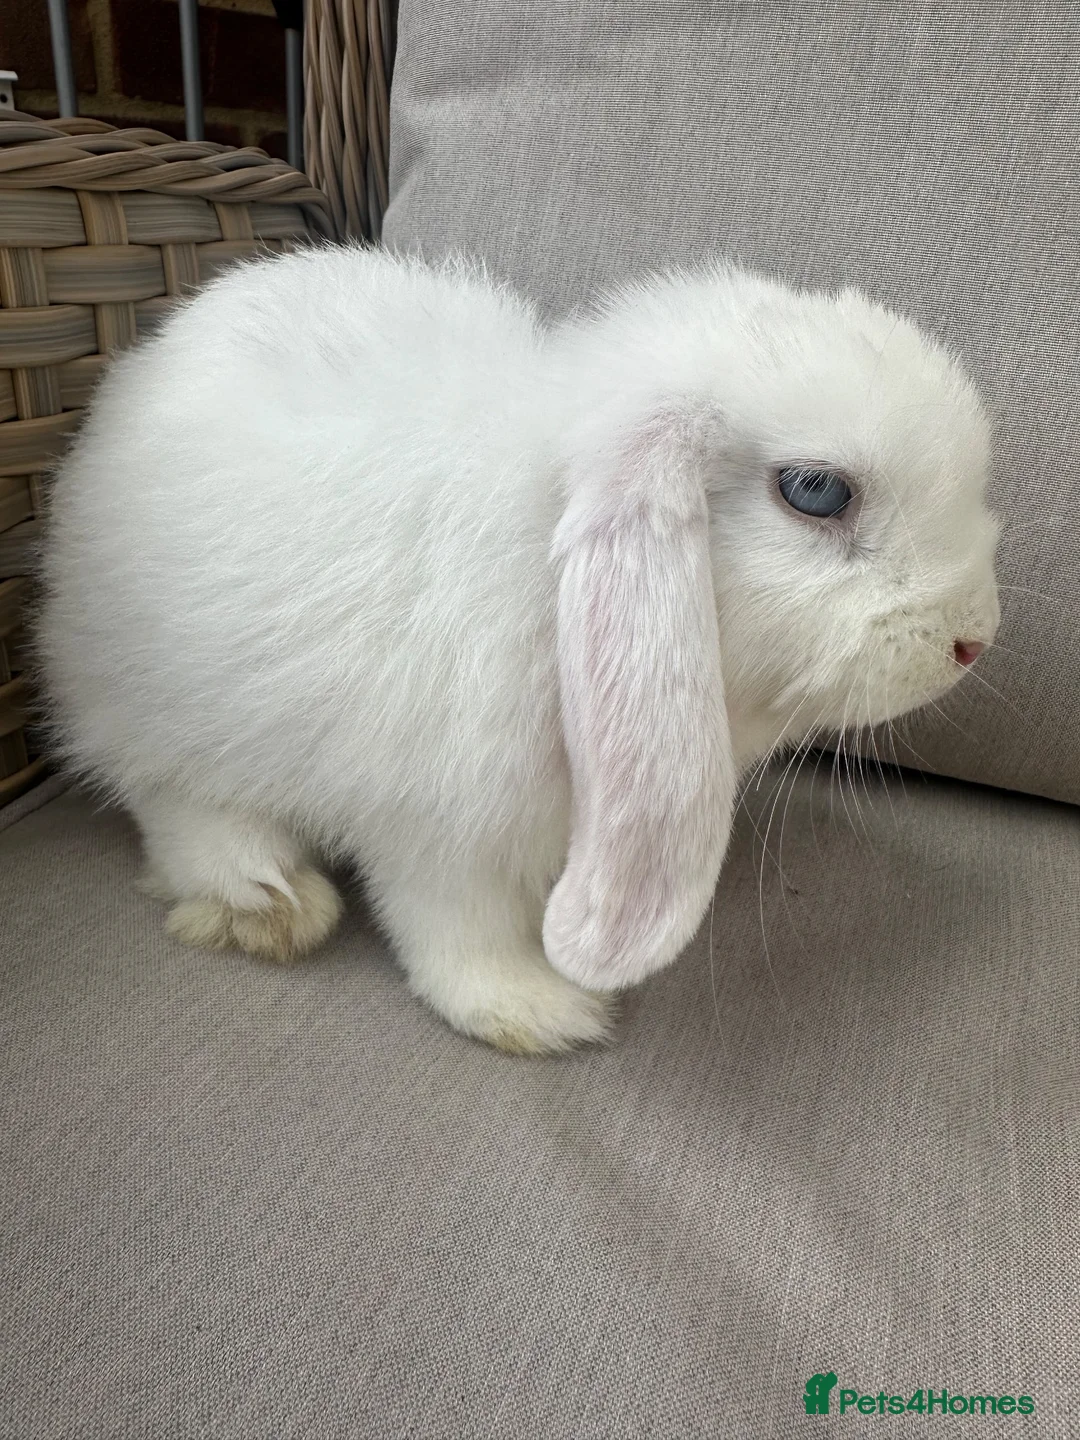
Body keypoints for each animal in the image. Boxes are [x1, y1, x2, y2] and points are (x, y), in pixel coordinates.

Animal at [38, 245, 1000, 1054]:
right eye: (816, 491)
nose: (973, 640)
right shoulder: (438, 824)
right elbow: (455, 930)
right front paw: (537, 1011)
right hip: (143, 692)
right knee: (163, 794)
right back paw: (264, 899)